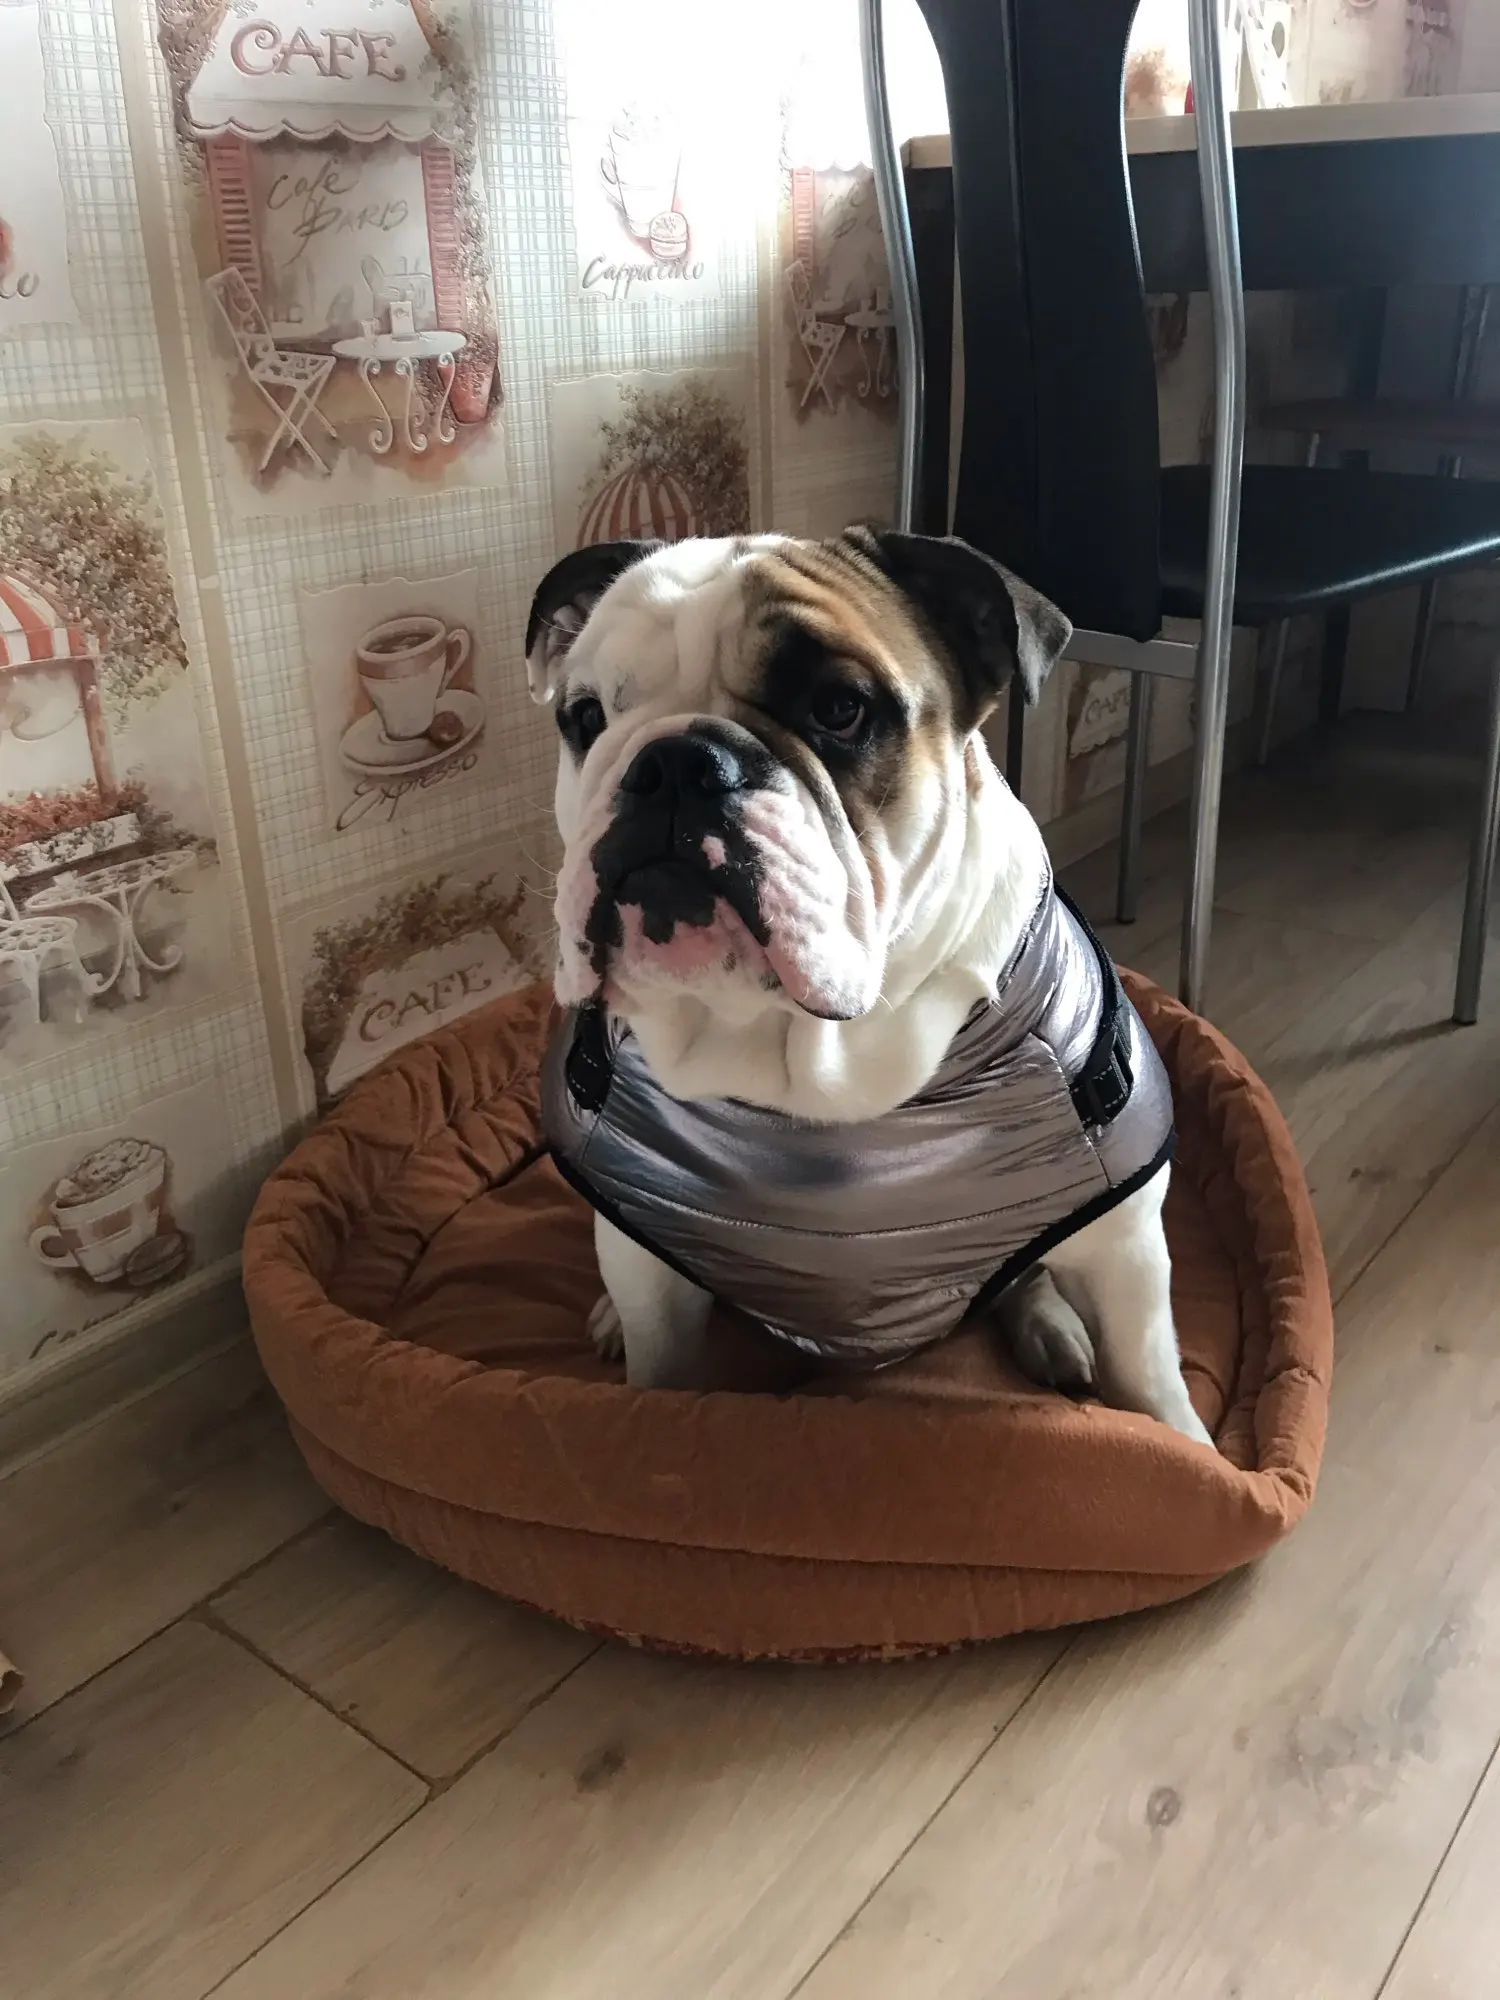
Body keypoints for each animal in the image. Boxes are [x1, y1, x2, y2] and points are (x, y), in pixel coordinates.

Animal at [525, 528, 1211, 1446]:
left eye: (839, 709)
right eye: (586, 718)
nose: (672, 762)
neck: (807, 1056)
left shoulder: (1126, 1249)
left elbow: (1152, 1382)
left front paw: (1193, 1450)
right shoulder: (658, 1289)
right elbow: (660, 1369)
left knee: (1030, 1279)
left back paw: (1051, 1326)